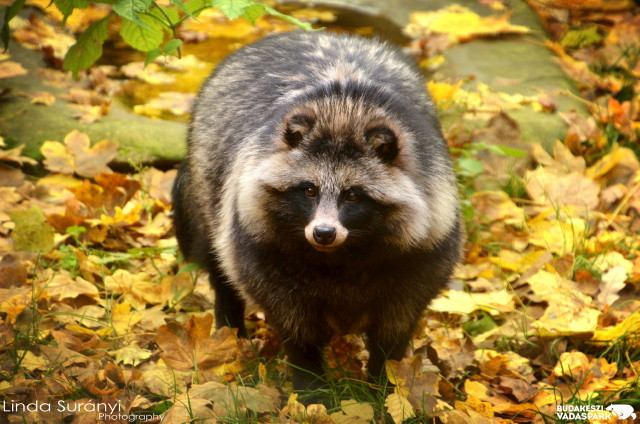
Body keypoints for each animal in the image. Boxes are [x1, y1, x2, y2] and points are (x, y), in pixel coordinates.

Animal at [172, 31, 462, 392]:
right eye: (309, 190)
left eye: (353, 196)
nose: (323, 233)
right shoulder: (265, 250)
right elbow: (295, 324)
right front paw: (311, 385)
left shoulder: (422, 257)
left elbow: (394, 328)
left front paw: (384, 384)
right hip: (206, 186)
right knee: (219, 261)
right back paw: (230, 327)